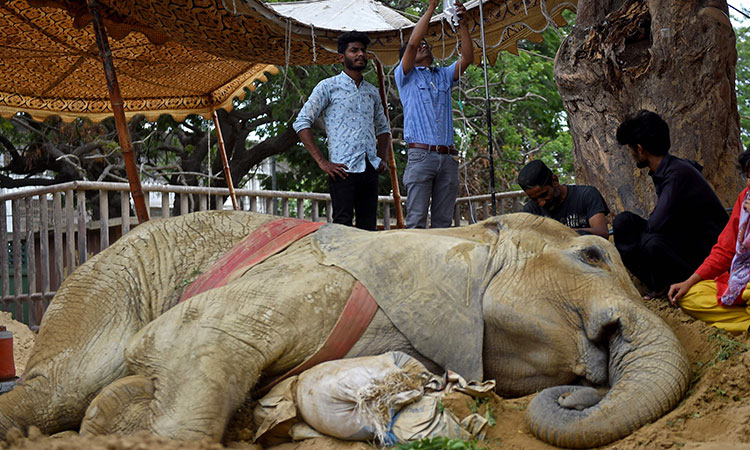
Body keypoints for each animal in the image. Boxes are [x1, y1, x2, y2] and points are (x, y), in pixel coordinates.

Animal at [0, 212, 692, 450]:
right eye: (593, 254)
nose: (578, 393)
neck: (460, 232)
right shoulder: (324, 280)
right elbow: (199, 332)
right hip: (105, 283)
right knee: (58, 386)